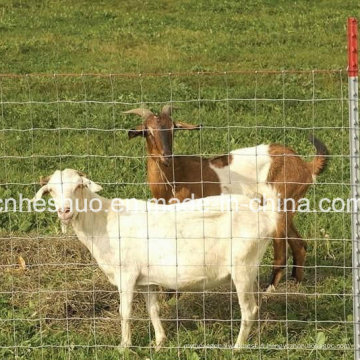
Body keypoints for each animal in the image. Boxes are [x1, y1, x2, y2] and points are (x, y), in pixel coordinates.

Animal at [34, 170, 278, 350]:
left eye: (79, 186)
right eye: (51, 190)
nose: (64, 211)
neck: (103, 221)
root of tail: (265, 216)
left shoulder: (127, 275)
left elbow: (125, 312)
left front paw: (124, 347)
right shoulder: (147, 280)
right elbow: (153, 309)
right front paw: (160, 342)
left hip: (242, 267)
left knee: (249, 310)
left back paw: (237, 348)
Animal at [124, 105, 330, 290]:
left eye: (173, 128)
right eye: (148, 131)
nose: (166, 156)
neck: (175, 177)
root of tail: (305, 166)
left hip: (279, 203)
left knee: (281, 250)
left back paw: (270, 289)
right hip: (288, 206)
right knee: (299, 244)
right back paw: (296, 282)